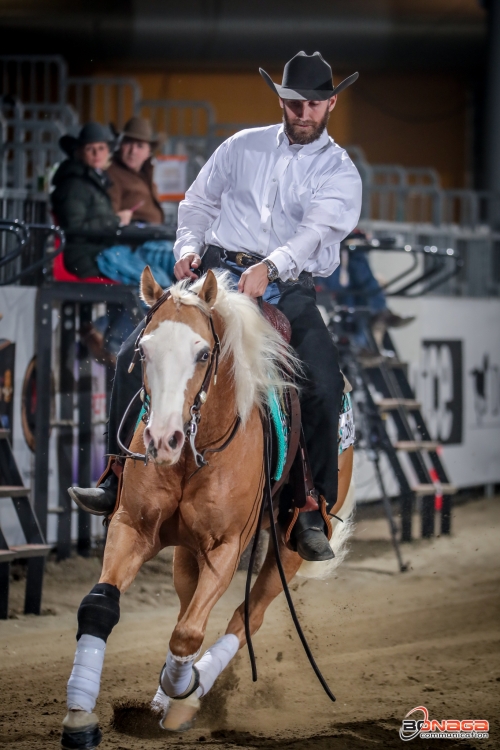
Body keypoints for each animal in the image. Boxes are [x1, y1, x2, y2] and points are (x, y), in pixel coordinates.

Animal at [60, 268, 354, 748]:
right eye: (144, 350)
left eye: (202, 354)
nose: (163, 440)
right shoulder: (132, 526)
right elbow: (99, 605)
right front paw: (80, 717)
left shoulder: (225, 546)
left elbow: (188, 634)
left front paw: (185, 690)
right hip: (185, 552)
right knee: (187, 603)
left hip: (288, 549)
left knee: (247, 616)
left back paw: (184, 696)